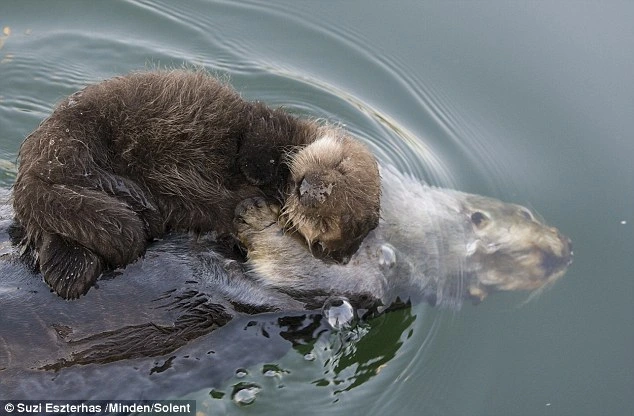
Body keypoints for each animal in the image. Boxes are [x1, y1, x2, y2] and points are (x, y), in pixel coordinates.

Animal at [11, 69, 380, 300]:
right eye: (340, 167)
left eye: (324, 222)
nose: (308, 190)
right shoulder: (268, 125)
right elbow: (257, 140)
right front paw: (260, 169)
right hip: (75, 137)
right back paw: (127, 194)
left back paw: (70, 271)